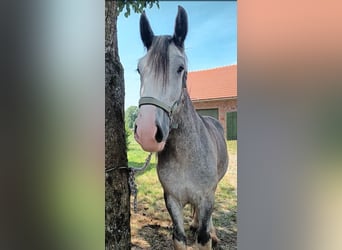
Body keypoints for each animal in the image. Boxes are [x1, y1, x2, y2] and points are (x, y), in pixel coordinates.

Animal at [135, 5, 228, 248]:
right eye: (139, 69)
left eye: (180, 68)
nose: (147, 133)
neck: (186, 157)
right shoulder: (172, 200)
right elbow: (179, 237)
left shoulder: (206, 198)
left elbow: (203, 237)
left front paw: (209, 233)